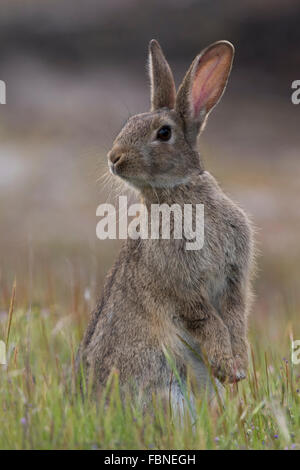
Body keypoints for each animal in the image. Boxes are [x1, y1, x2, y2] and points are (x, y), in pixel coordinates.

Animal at [76, 40, 254, 406]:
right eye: (129, 123)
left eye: (163, 132)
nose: (114, 158)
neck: (177, 192)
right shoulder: (184, 288)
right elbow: (210, 321)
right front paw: (227, 367)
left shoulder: (234, 280)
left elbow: (235, 319)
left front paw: (238, 368)